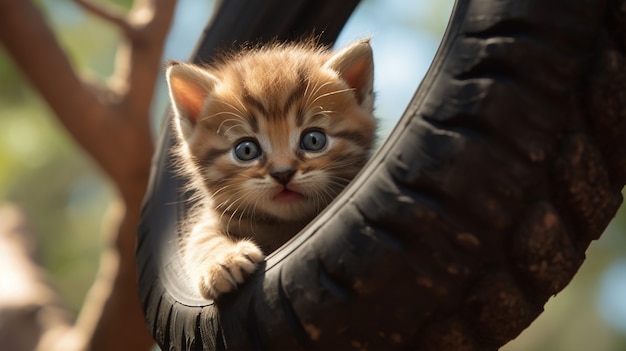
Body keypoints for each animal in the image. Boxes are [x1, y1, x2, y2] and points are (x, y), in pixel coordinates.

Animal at [163, 40, 376, 302]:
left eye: (314, 140)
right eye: (246, 150)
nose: (283, 173)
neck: (285, 225)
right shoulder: (211, 218)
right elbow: (201, 238)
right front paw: (223, 262)